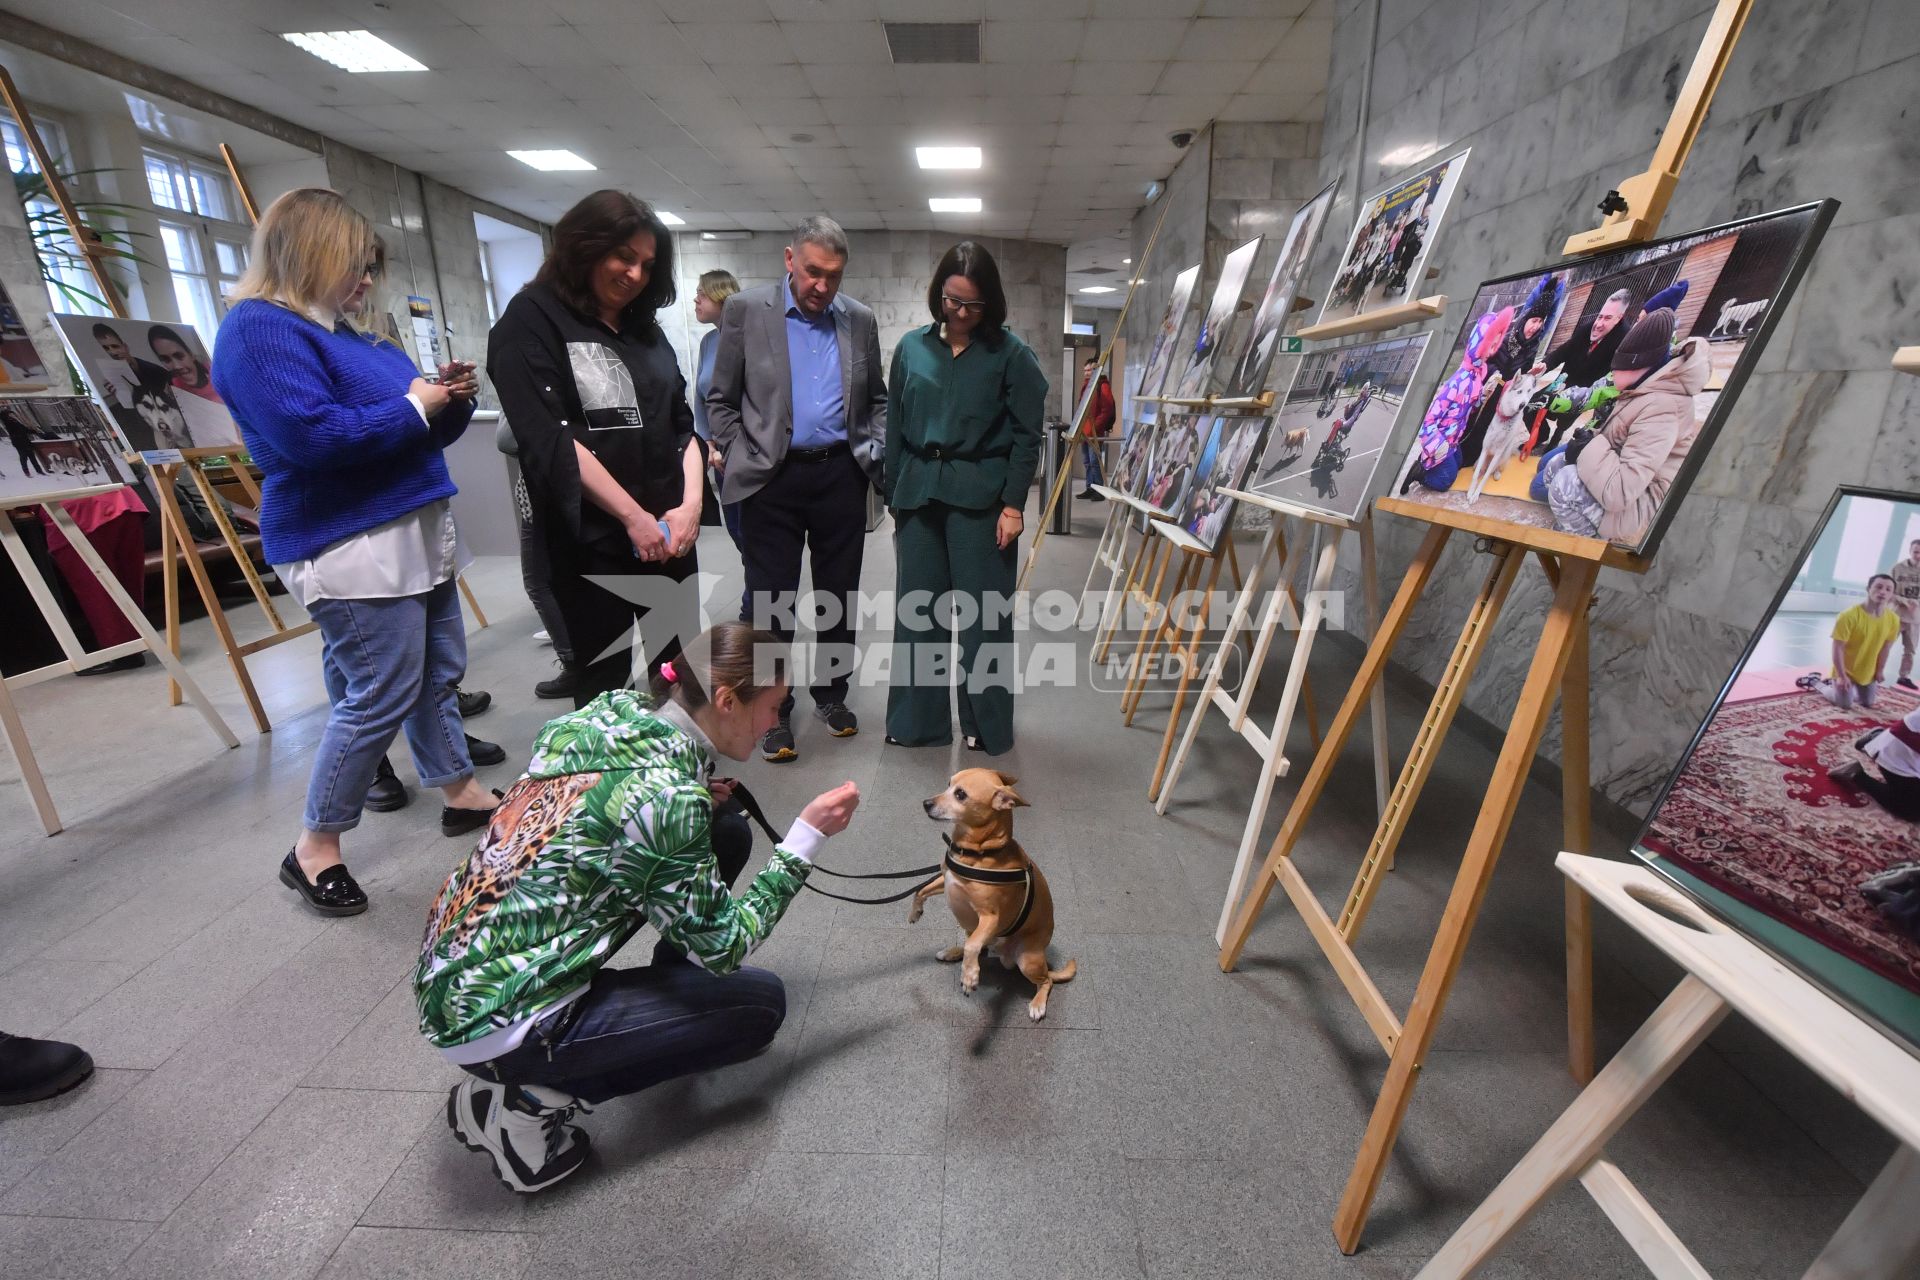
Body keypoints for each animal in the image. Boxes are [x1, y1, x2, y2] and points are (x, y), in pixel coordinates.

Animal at [906, 771, 1075, 1020]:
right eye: (948, 784)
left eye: (960, 794)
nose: (926, 803)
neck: (977, 852)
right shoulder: (945, 880)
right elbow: (920, 890)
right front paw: (915, 912)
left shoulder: (990, 917)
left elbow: (973, 946)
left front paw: (969, 977)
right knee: (979, 947)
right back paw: (952, 952)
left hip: (1028, 961)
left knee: (1045, 981)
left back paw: (1037, 1004)